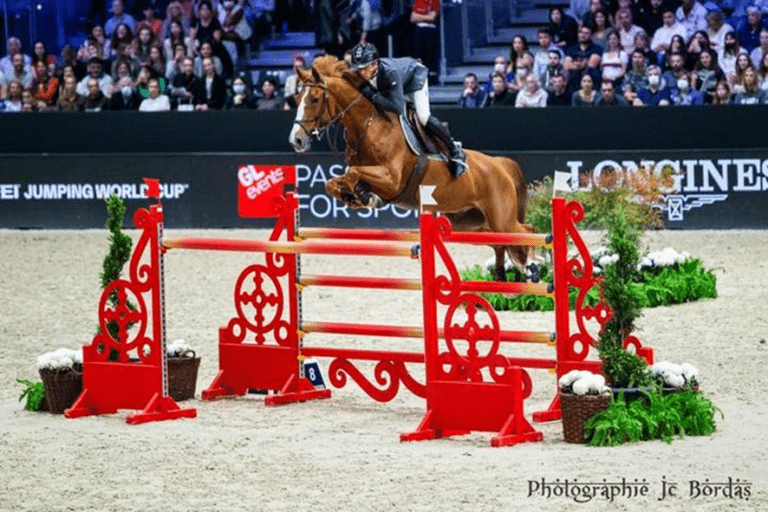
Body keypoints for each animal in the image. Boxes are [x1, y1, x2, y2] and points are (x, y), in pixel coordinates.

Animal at [288, 56, 538, 281]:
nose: (296, 140)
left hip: (501, 219)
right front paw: (357, 197)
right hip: (470, 223)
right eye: (298, 98)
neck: (368, 125)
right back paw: (501, 278)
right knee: (500, 243)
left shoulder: (391, 179)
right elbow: (333, 182)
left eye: (315, 99)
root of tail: (500, 164)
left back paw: (532, 269)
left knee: (528, 231)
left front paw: (362, 197)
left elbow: (354, 173)